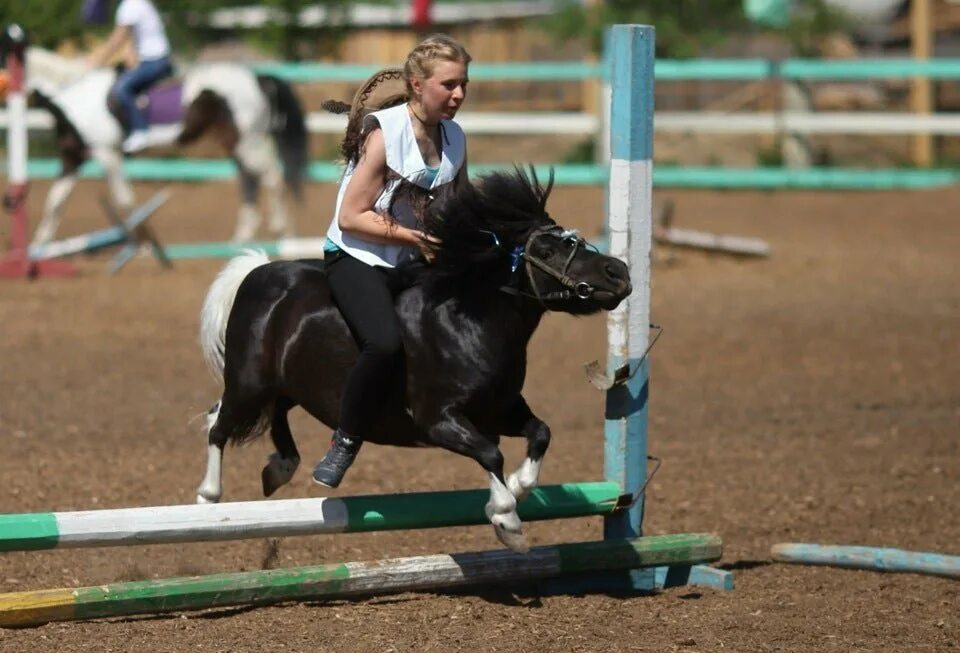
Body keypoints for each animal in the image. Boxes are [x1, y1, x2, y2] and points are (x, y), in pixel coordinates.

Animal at [0, 45, 308, 244]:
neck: (74, 96)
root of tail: (259, 78)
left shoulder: (107, 154)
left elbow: (123, 197)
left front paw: (141, 240)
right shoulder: (72, 157)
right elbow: (55, 201)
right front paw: (39, 245)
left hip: (249, 142)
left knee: (272, 179)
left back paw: (282, 231)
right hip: (236, 144)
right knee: (250, 182)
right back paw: (242, 236)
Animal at [193, 168, 632, 552]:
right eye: (546, 249)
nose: (619, 272)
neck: (468, 320)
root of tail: (257, 273)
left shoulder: (500, 409)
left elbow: (540, 432)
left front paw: (520, 485)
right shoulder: (437, 420)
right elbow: (490, 453)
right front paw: (506, 519)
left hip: (285, 386)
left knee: (273, 415)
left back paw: (279, 469)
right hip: (249, 384)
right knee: (218, 424)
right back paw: (207, 499)